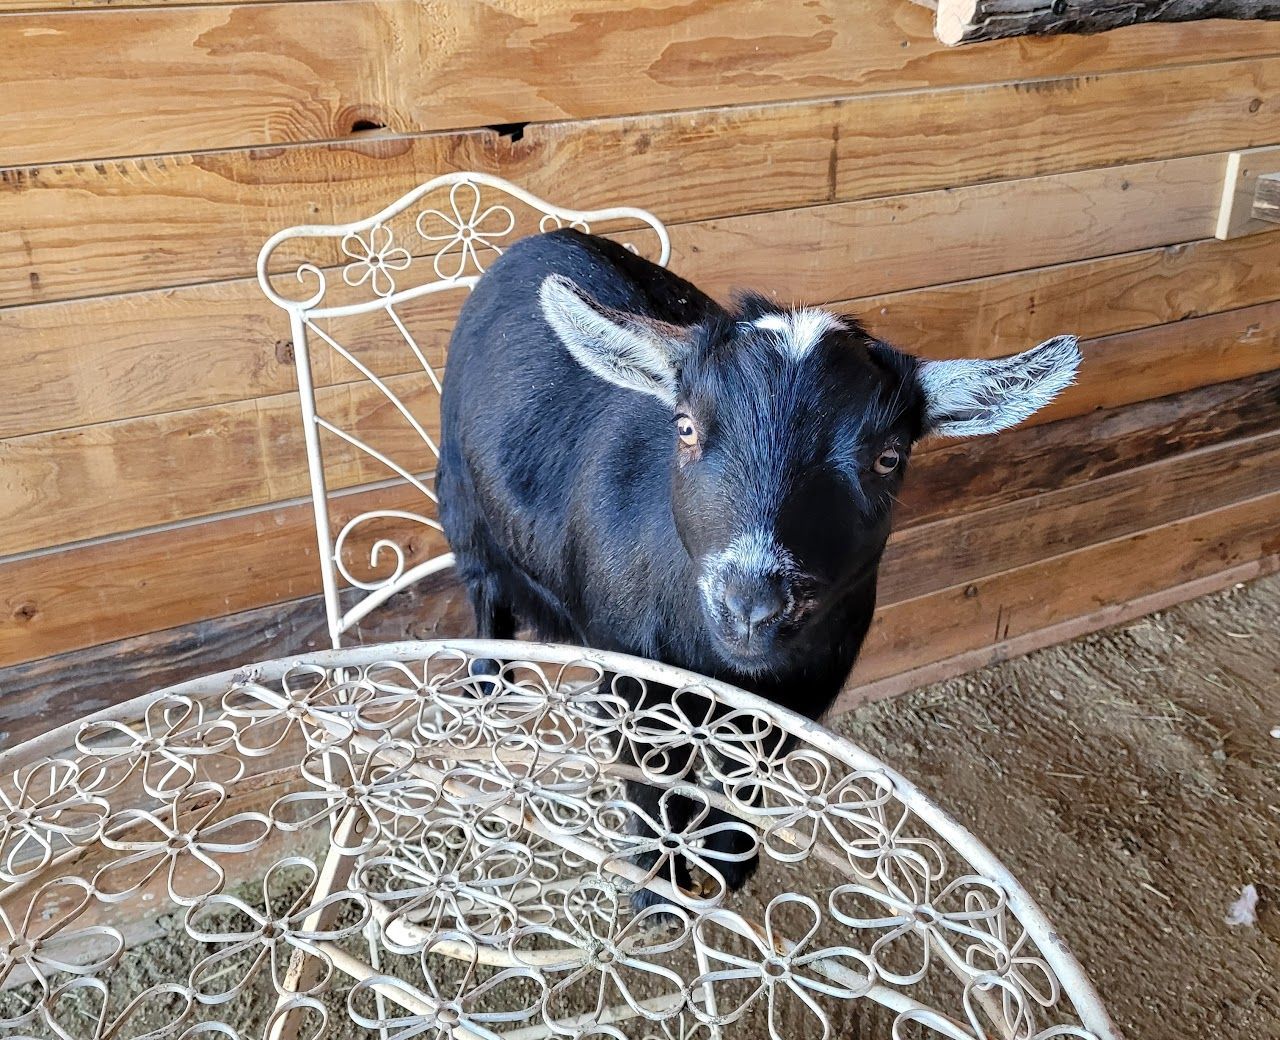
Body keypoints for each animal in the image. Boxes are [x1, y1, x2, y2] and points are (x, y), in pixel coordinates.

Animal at [437, 229, 1079, 905]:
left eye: (888, 458)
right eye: (685, 427)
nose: (750, 605)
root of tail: (541, 239)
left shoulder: (799, 695)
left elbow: (747, 776)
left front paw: (731, 859)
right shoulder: (628, 673)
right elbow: (649, 776)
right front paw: (659, 885)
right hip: (461, 500)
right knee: (483, 587)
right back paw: (488, 682)